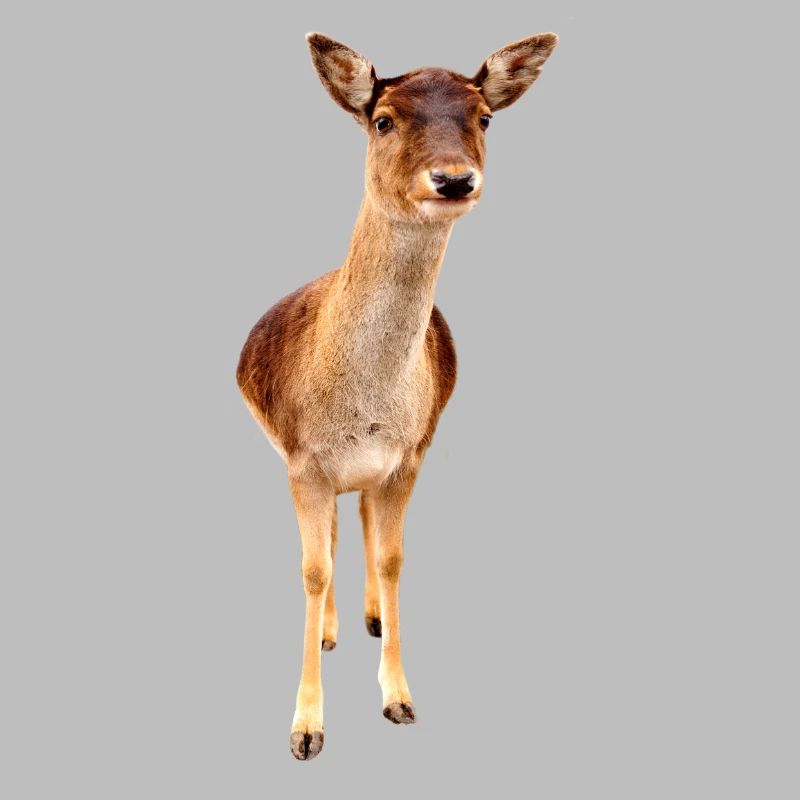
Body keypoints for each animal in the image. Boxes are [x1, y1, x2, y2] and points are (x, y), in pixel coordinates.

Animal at [236, 31, 558, 760]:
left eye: (484, 117)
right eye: (383, 119)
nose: (454, 179)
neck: (366, 413)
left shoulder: (410, 454)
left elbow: (391, 558)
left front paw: (399, 698)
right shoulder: (302, 461)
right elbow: (312, 567)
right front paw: (305, 729)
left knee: (356, 520)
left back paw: (371, 618)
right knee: (330, 535)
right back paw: (332, 629)